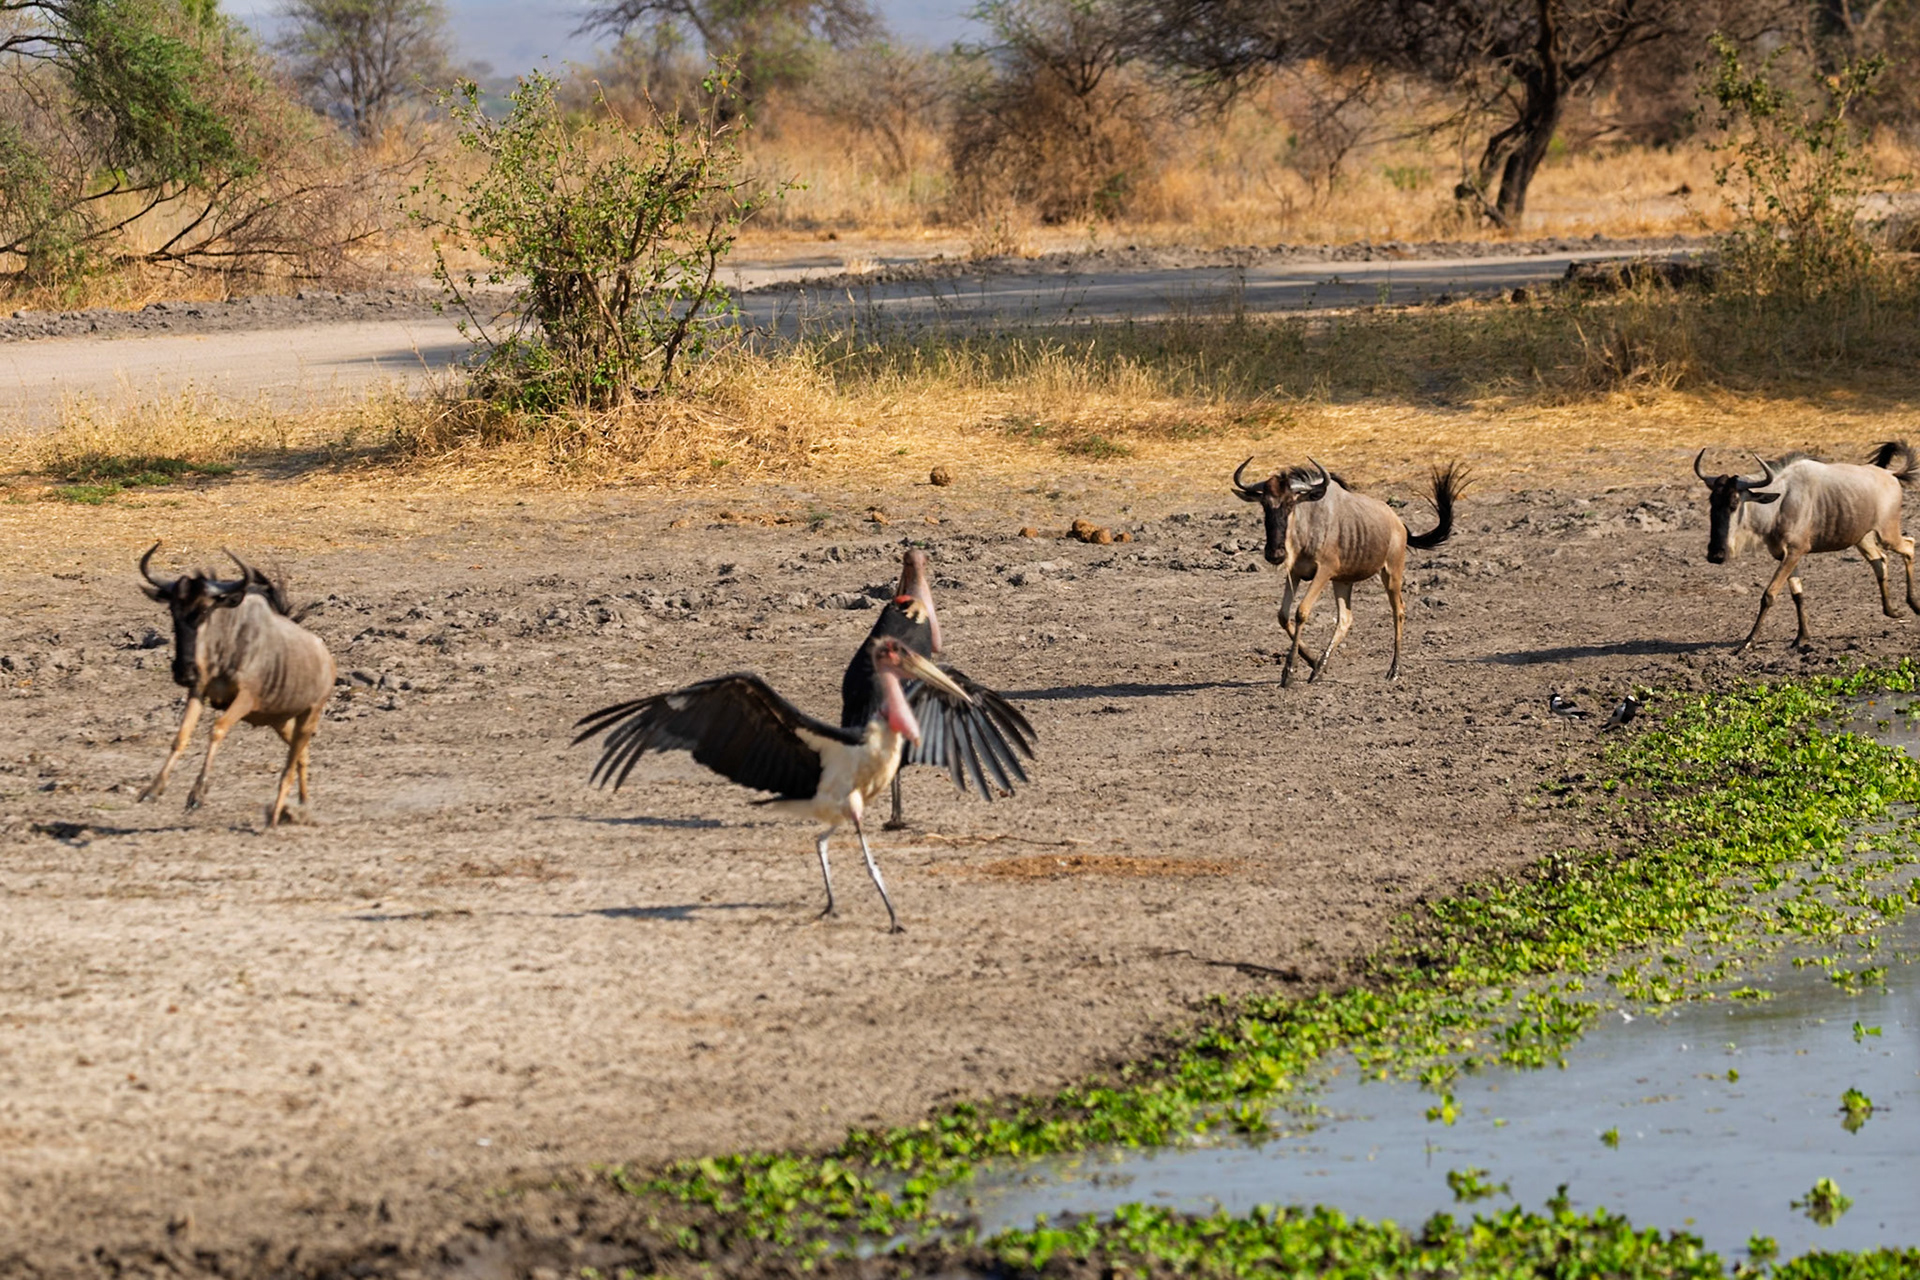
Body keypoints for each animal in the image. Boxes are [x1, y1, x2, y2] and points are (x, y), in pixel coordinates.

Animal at [137, 544, 336, 826]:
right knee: (302, 755)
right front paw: (153, 789)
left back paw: (280, 815)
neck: (227, 647)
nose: (184, 672)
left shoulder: (245, 699)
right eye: (173, 611)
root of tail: (327, 659)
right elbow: (181, 736)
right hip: (280, 720)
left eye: (205, 611)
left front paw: (197, 794)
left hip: (309, 715)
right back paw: (302, 805)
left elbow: (217, 729)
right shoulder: (198, 691)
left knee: (292, 761)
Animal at [1232, 458, 1468, 685]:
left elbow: (1301, 611)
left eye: (1290, 504)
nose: (1275, 554)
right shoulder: (1295, 573)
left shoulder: (1324, 571)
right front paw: (1312, 661)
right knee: (1346, 618)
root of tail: (1399, 524)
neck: (1308, 525)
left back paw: (1394, 671)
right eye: (1264, 505)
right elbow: (1282, 615)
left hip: (1391, 572)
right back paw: (1319, 669)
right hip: (1343, 581)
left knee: (1398, 610)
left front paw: (1289, 672)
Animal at [1695, 441, 1920, 650]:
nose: (1715, 555)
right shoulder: (1785, 555)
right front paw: (1802, 637)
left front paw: (1748, 642)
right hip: (1862, 539)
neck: (1779, 505)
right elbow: (1797, 594)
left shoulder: (1795, 551)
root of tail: (1891, 474)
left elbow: (1769, 594)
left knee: (1909, 546)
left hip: (1887, 533)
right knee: (1880, 560)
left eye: (1734, 503)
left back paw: (1914, 605)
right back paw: (1891, 611)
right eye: (1712, 502)